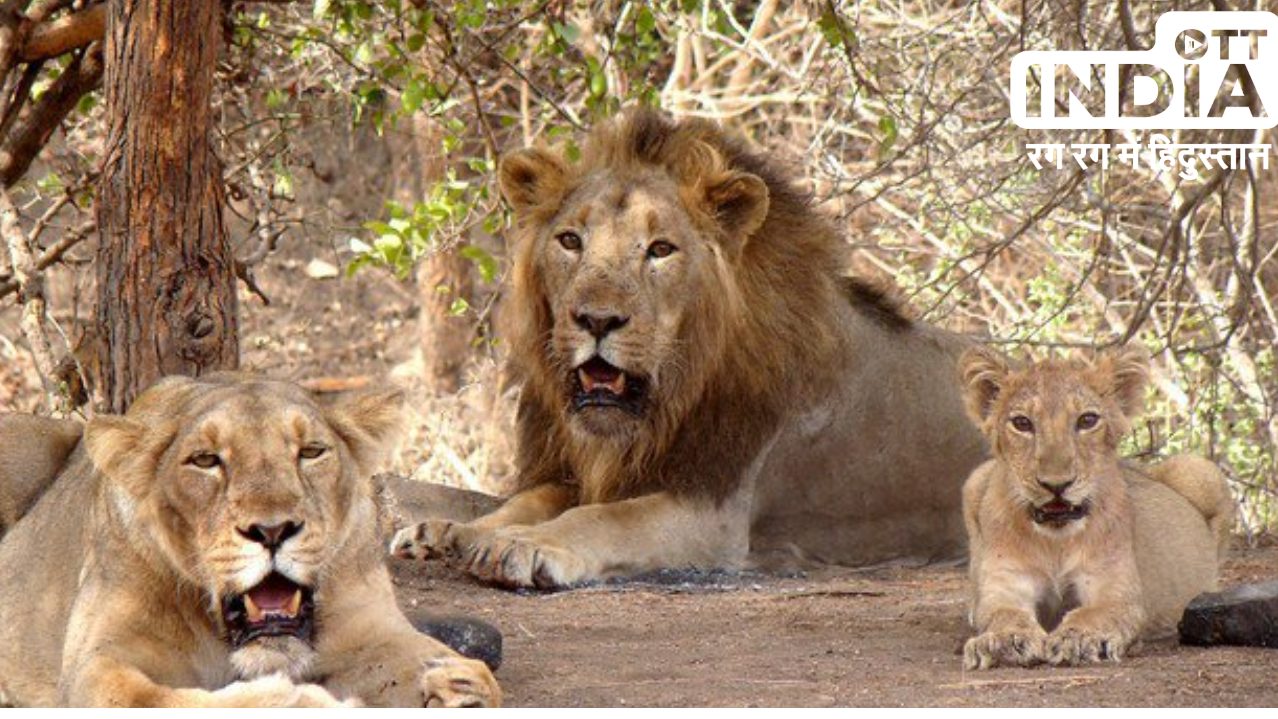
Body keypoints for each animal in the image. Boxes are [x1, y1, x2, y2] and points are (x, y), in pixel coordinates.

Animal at [0, 374, 500, 707]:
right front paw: (300, 701)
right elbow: (164, 701)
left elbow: (453, 667)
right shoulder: (98, 664)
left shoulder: (370, 628)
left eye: (311, 452)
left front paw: (459, 686)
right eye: (205, 460)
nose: (273, 530)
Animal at [390, 108, 988, 588]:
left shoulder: (715, 512)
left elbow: (605, 519)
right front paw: (450, 531)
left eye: (660, 250)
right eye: (570, 241)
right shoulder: (580, 471)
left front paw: (522, 545)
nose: (596, 319)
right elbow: (525, 500)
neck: (667, 402)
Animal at [958, 345, 1234, 669]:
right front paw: (1004, 640)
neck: (1056, 542)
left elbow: (1094, 613)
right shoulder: (1005, 584)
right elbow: (1002, 613)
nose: (1056, 484)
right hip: (975, 479)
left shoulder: (1116, 591)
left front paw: (1080, 638)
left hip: (1200, 469)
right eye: (1022, 423)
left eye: (1087, 420)